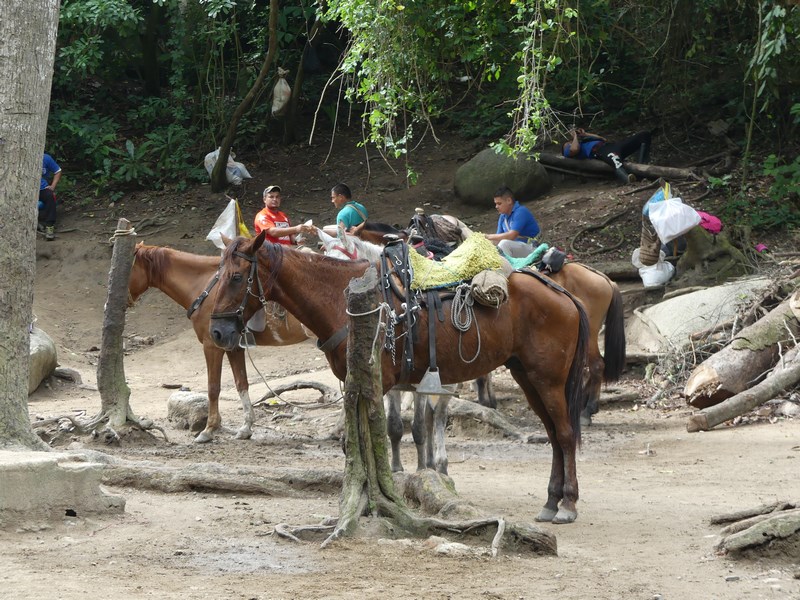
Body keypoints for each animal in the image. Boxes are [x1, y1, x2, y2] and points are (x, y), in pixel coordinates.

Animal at [127, 241, 310, 442]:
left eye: (127, 267)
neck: (206, 289)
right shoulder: (233, 347)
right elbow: (241, 383)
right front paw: (246, 428)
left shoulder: (212, 345)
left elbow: (213, 387)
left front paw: (209, 429)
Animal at [209, 232, 592, 524]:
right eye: (217, 274)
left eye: (237, 277)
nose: (217, 331)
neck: (340, 296)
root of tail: (563, 294)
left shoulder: (376, 382)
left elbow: (378, 438)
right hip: (527, 376)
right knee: (553, 435)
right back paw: (550, 502)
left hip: (549, 381)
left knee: (564, 434)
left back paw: (567, 505)